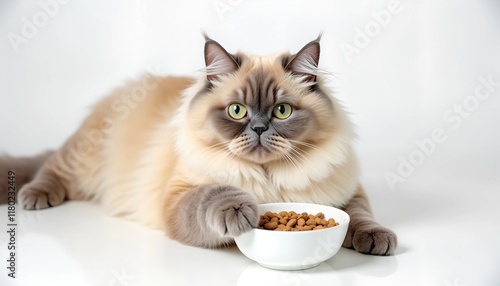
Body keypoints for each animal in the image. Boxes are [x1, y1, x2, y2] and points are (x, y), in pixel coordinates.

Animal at [0, 34, 398, 256]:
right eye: (237, 111)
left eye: (282, 111)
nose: (258, 127)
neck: (269, 178)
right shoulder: (180, 197)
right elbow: (212, 197)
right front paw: (240, 210)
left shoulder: (348, 192)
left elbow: (360, 216)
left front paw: (376, 240)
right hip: (83, 159)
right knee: (51, 167)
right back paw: (36, 197)